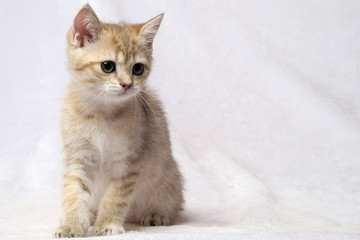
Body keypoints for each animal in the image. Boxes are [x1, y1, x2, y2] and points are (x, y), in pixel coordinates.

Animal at [54, 4, 184, 237]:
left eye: (138, 69)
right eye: (108, 66)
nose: (127, 84)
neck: (100, 114)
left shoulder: (128, 163)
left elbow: (115, 197)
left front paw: (107, 224)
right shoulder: (78, 157)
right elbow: (73, 192)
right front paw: (71, 224)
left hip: (170, 180)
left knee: (173, 207)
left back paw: (155, 215)